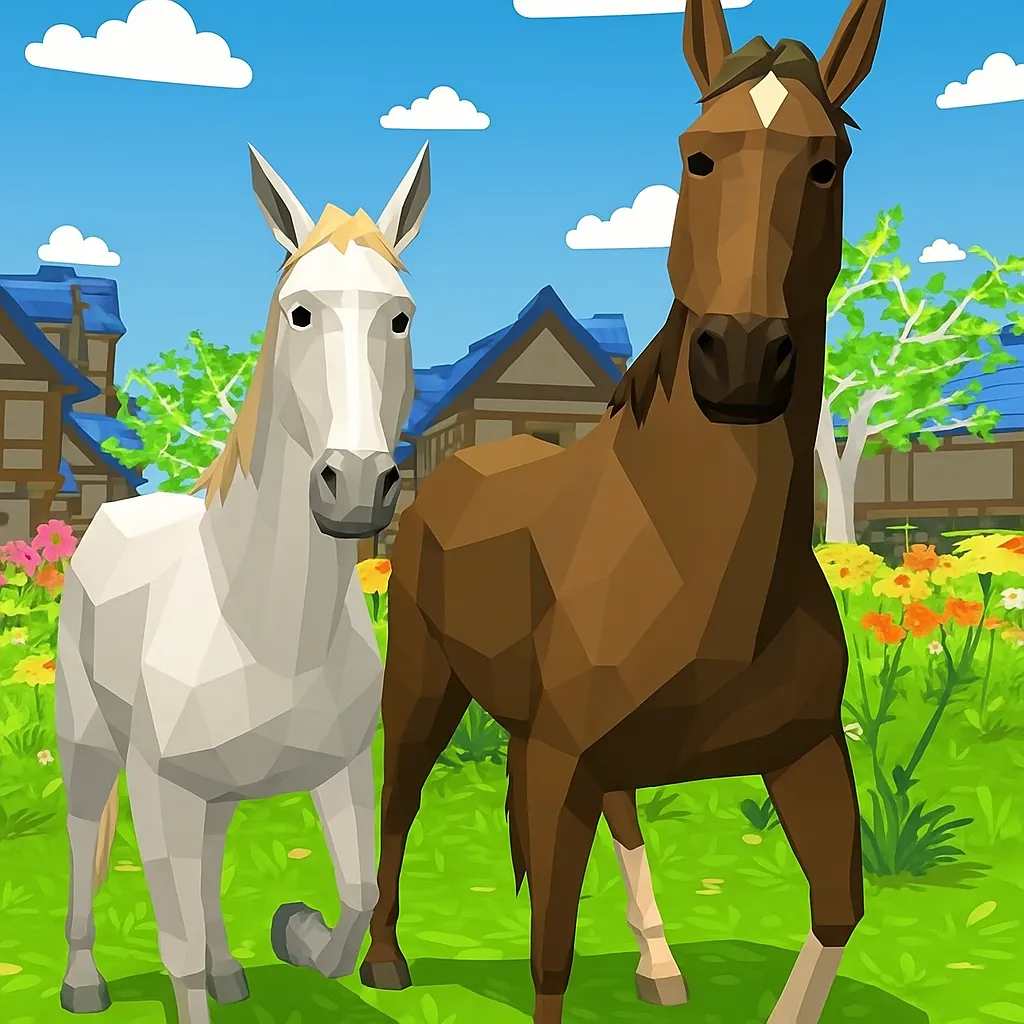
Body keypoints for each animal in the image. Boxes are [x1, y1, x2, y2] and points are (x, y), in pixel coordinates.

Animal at [53, 140, 430, 1024]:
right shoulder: (161, 789)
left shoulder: (342, 772)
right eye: (299, 313)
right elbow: (176, 947)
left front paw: (296, 928)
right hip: (90, 745)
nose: (354, 485)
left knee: (211, 866)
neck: (268, 630)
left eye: (401, 317)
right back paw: (83, 983)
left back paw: (234, 972)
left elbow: (356, 901)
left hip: (215, 794)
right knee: (84, 842)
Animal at [358, 0, 887, 1020]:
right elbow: (551, 958)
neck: (689, 551)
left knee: (626, 813)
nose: (742, 359)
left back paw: (659, 965)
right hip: (425, 682)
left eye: (826, 163)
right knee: (399, 800)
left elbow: (840, 910)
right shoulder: (561, 756)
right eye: (698, 156)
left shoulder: (805, 751)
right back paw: (386, 959)